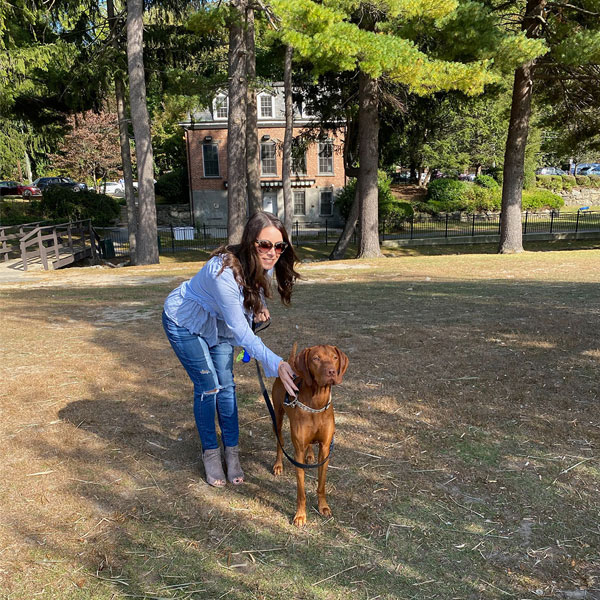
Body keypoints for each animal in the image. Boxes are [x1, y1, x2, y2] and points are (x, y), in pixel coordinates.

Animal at [272, 343, 349, 526]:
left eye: (335, 358)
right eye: (316, 358)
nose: (331, 372)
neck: (316, 403)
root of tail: (290, 363)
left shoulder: (326, 448)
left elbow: (321, 484)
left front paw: (323, 506)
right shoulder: (297, 452)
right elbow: (301, 491)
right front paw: (300, 515)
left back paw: (310, 455)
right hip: (277, 416)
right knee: (280, 441)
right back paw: (278, 465)